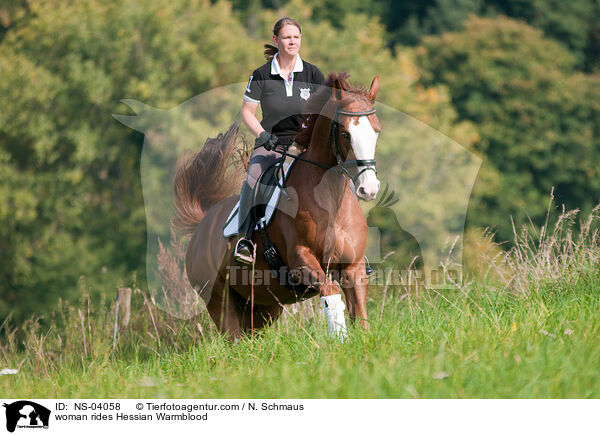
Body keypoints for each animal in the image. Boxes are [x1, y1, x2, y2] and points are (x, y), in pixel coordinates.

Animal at [172, 73, 380, 342]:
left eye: (376, 131)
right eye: (345, 134)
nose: (369, 189)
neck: (330, 202)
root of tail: (202, 224)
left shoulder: (353, 268)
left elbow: (360, 315)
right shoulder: (301, 261)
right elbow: (331, 295)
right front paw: (339, 341)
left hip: (263, 306)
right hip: (219, 301)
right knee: (234, 338)